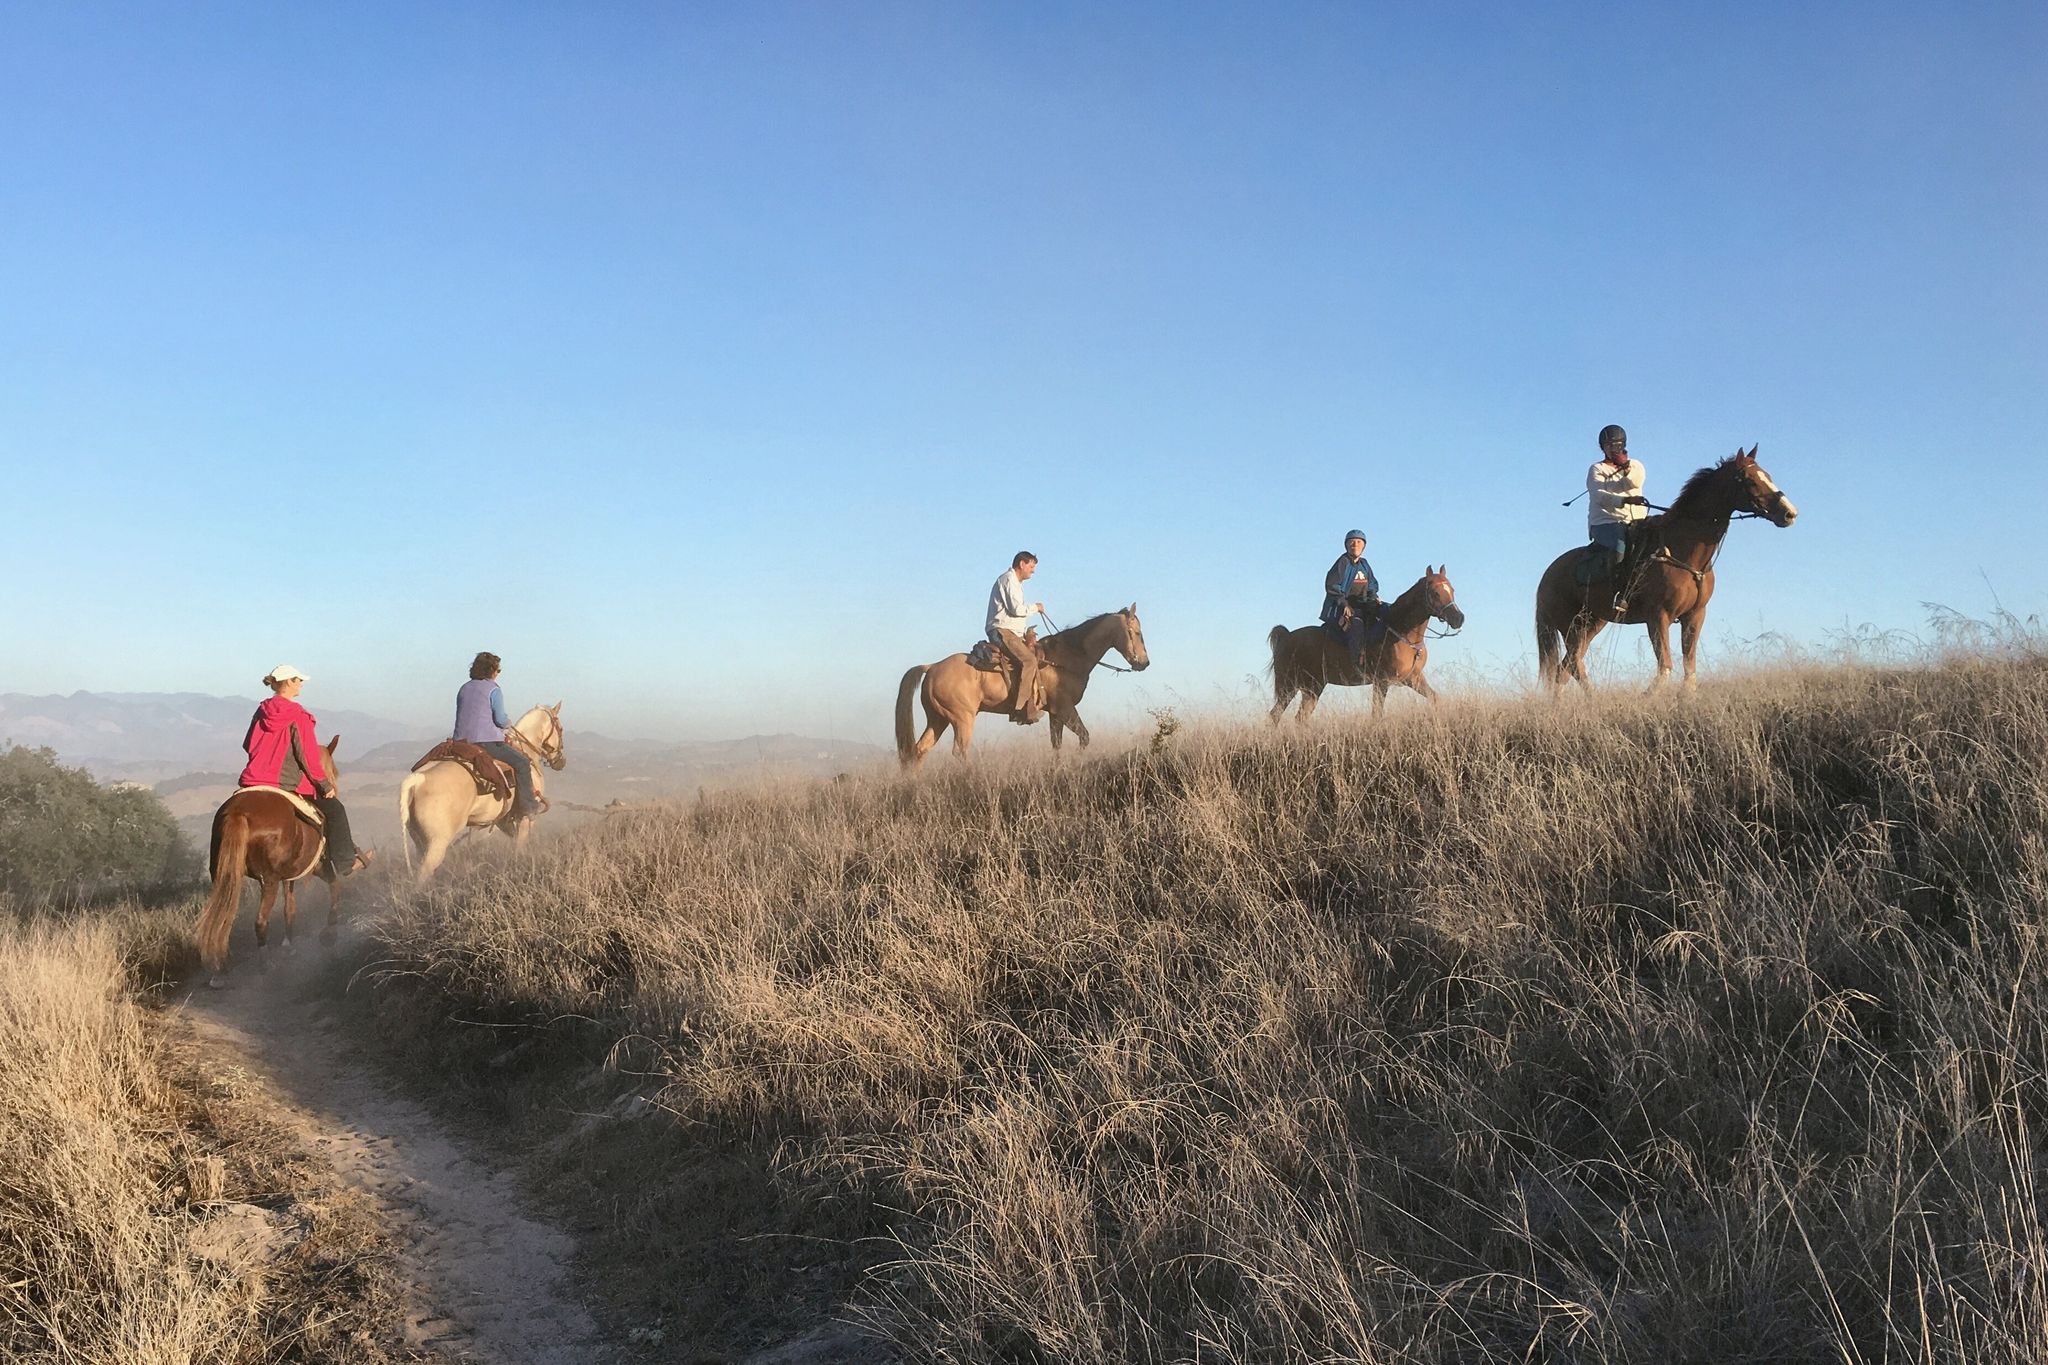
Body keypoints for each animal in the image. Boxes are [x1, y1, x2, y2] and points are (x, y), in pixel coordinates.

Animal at [193, 736, 350, 982]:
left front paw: (288, 944)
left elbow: (290, 908)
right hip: (269, 880)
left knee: (223, 918)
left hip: (224, 874)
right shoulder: (318, 867)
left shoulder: (290, 876)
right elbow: (335, 886)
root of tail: (238, 812)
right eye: (334, 771)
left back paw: (220, 969)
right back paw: (264, 964)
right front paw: (329, 933)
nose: (332, 790)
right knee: (260, 920)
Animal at [397, 703, 569, 888]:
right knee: (422, 876)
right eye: (560, 728)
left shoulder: (503, 821)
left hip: (420, 841)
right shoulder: (524, 819)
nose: (561, 761)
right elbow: (520, 846)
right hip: (437, 844)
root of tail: (418, 779)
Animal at [897, 605, 1155, 769]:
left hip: (938, 719)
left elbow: (1057, 745)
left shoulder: (1055, 713)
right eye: (1137, 633)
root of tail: (932, 667)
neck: (1067, 657)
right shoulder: (1065, 709)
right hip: (962, 719)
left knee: (919, 751)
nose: (1144, 663)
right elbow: (1084, 738)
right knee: (959, 753)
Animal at [1269, 564, 1466, 724]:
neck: (1401, 632)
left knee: (1299, 717)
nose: (1458, 619)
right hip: (1288, 686)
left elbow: (1435, 699)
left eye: (1452, 590)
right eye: (1435, 592)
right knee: (1275, 715)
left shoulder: (1414, 678)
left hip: (1312, 688)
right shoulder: (1382, 682)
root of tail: (1286, 637)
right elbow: (1376, 715)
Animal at [1531, 448, 1802, 695]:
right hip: (1570, 626)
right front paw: (1646, 697)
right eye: (1749, 479)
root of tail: (1547, 574)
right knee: (1573, 664)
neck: (1684, 552)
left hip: (1590, 624)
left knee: (1565, 668)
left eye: (1767, 475)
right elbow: (1665, 668)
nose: (1790, 513)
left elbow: (1689, 669)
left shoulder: (1695, 616)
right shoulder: (1658, 617)